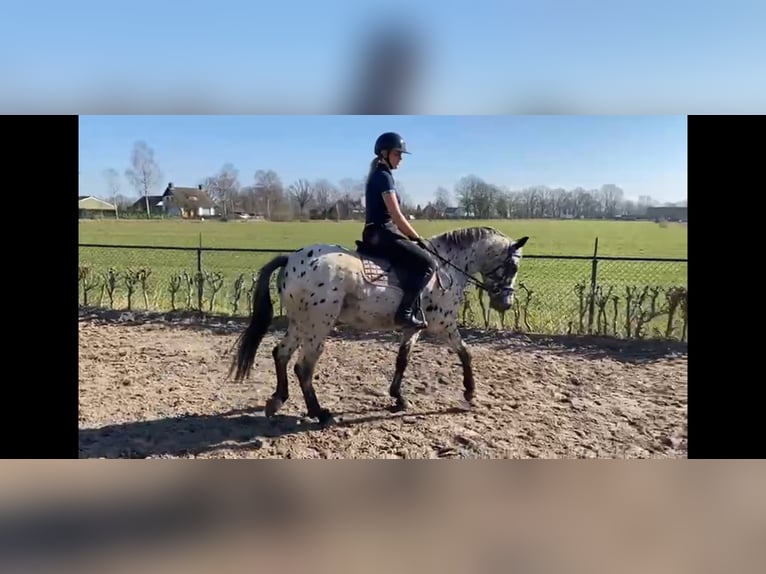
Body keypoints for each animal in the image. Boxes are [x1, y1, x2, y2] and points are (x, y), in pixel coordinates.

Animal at [228, 227, 528, 426]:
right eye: (512, 266)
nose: (506, 304)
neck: (447, 267)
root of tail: (291, 259)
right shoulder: (443, 324)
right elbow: (466, 353)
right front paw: (469, 392)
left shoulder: (413, 327)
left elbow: (402, 360)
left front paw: (398, 399)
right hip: (317, 325)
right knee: (303, 367)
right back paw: (320, 413)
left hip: (299, 322)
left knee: (281, 353)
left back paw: (277, 400)